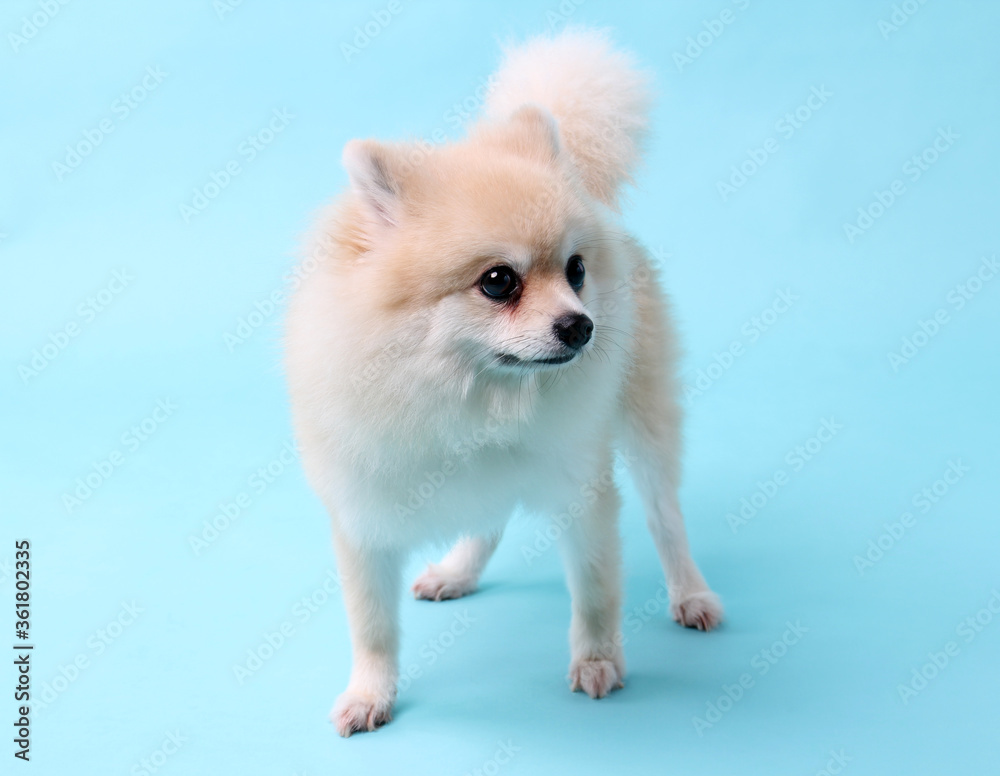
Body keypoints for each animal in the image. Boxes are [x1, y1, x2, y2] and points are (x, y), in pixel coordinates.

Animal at [286, 27, 724, 736]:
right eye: (498, 282)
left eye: (576, 270)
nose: (581, 326)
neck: (473, 399)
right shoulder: (364, 515)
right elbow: (372, 626)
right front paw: (371, 692)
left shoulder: (584, 491)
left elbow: (596, 590)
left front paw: (598, 660)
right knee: (489, 519)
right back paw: (458, 571)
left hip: (648, 422)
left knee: (666, 518)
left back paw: (691, 592)